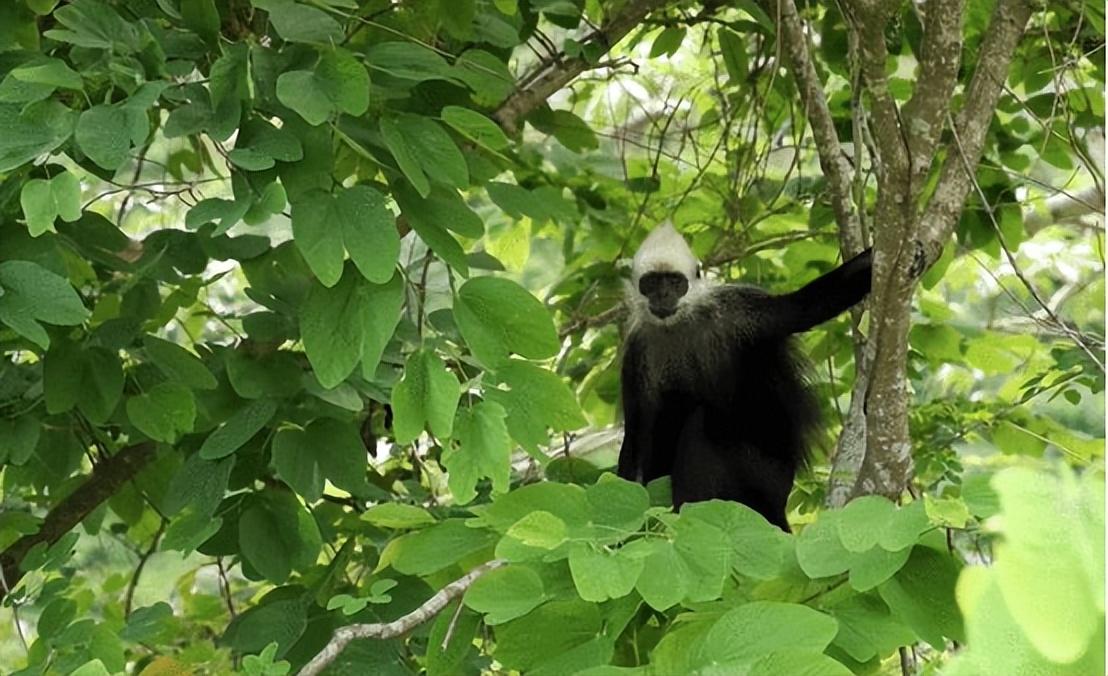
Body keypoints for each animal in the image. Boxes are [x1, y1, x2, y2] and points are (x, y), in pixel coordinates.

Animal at [620, 223, 868, 529]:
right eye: (652, 284)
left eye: (675, 283)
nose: (663, 296)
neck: (679, 325)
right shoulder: (637, 352)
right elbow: (636, 434)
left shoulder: (739, 310)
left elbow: (804, 307)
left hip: (763, 473)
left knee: (701, 423)